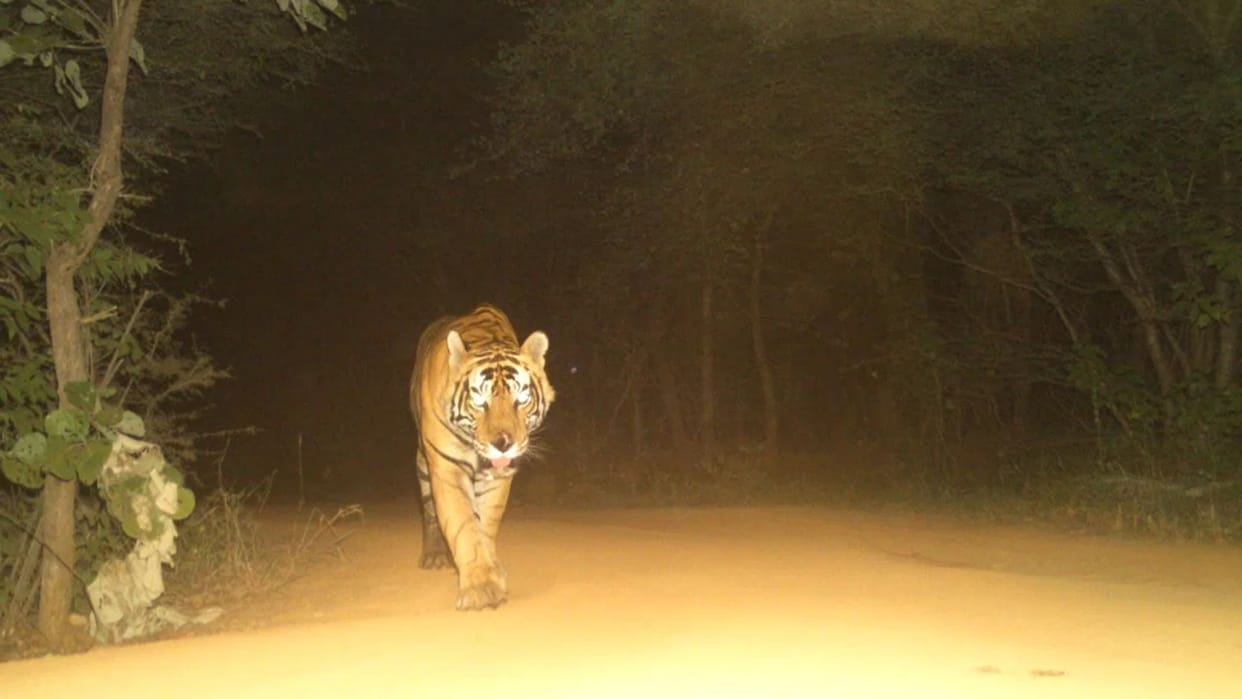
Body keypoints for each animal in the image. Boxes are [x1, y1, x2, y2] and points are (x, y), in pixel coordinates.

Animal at [409, 304, 555, 610]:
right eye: (479, 402)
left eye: (521, 400)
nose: (503, 444)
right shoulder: (447, 467)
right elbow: (464, 525)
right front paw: (481, 588)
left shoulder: (498, 477)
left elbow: (485, 524)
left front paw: (492, 572)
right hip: (424, 463)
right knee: (429, 511)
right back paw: (434, 555)